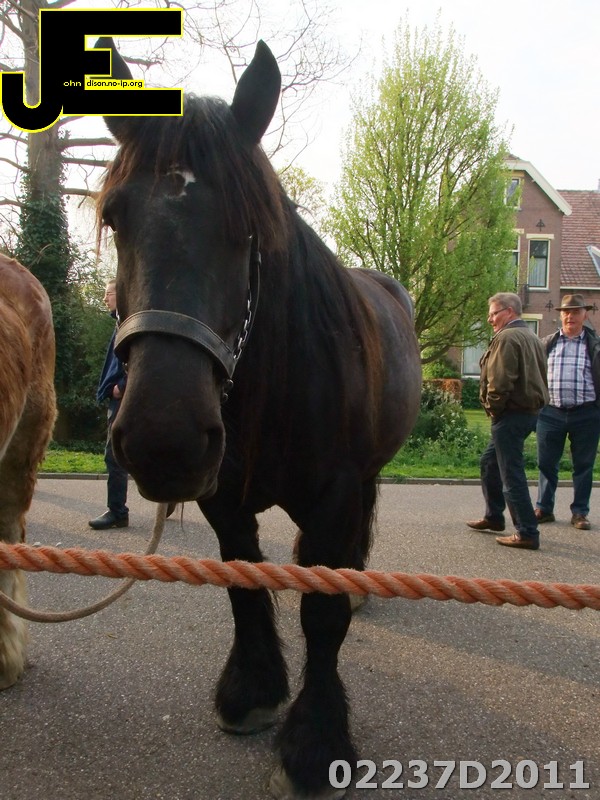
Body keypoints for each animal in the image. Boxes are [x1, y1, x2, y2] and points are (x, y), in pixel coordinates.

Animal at [96, 38, 422, 799]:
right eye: (116, 216)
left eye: (248, 227)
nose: (162, 438)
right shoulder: (222, 495)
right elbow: (243, 582)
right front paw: (251, 691)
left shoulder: (337, 492)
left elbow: (323, 612)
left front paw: (315, 742)